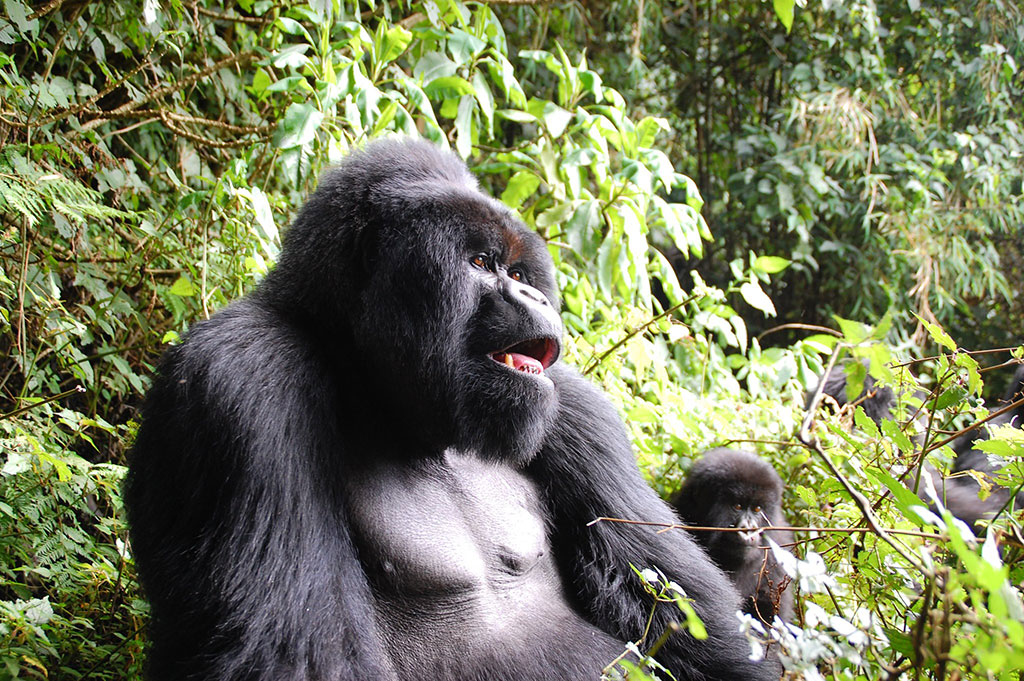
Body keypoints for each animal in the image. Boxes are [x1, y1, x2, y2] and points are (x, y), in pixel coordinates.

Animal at [123, 138, 774, 679]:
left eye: (519, 270)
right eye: (481, 263)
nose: (537, 296)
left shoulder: (576, 411)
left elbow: (690, 618)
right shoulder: (245, 375)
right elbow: (293, 655)